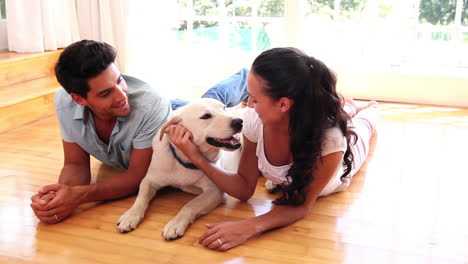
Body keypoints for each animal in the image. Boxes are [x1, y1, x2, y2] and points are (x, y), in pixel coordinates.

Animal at [117, 98, 243, 240]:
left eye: (224, 108)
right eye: (206, 116)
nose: (239, 122)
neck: (184, 159)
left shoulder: (215, 191)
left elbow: (189, 205)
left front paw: (175, 224)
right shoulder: (148, 180)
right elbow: (140, 198)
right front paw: (130, 216)